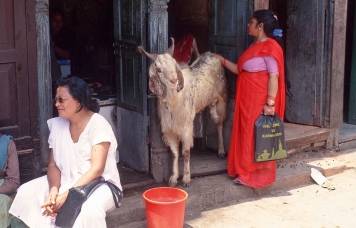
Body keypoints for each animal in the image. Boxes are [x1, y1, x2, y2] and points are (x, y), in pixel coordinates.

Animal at [138, 37, 227, 187]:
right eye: (158, 69)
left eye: (175, 65)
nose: (174, 80)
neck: (174, 101)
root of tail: (211, 54)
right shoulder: (169, 128)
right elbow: (174, 153)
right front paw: (173, 179)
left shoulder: (185, 126)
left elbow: (185, 152)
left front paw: (186, 179)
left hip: (222, 98)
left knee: (219, 124)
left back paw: (221, 151)